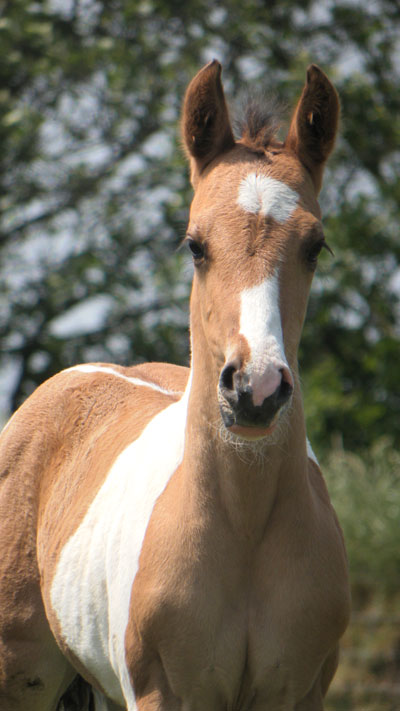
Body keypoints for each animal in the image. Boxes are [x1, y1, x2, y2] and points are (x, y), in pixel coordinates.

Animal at [0, 61, 350, 711]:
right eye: (195, 244)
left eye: (316, 247)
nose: (255, 389)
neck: (244, 527)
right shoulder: (163, 692)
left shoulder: (299, 692)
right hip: (24, 678)